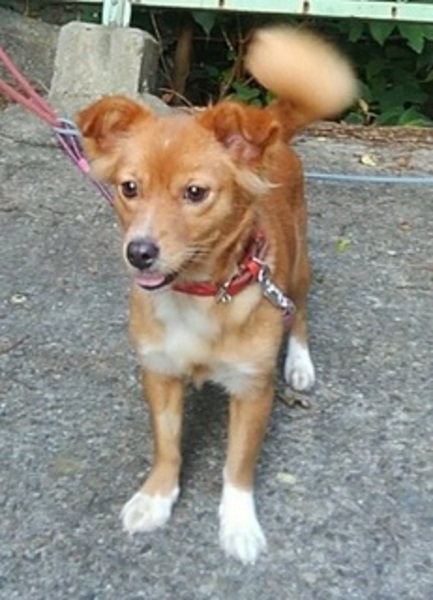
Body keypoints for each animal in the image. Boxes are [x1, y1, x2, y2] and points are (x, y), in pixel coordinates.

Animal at [76, 26, 356, 564]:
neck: (200, 293)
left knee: (300, 313)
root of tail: (272, 128)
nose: (139, 252)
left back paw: (301, 363)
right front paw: (157, 497)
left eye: (195, 193)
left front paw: (239, 525)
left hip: (297, 268)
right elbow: (167, 446)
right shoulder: (160, 372)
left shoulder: (252, 390)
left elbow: (238, 466)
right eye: (129, 188)